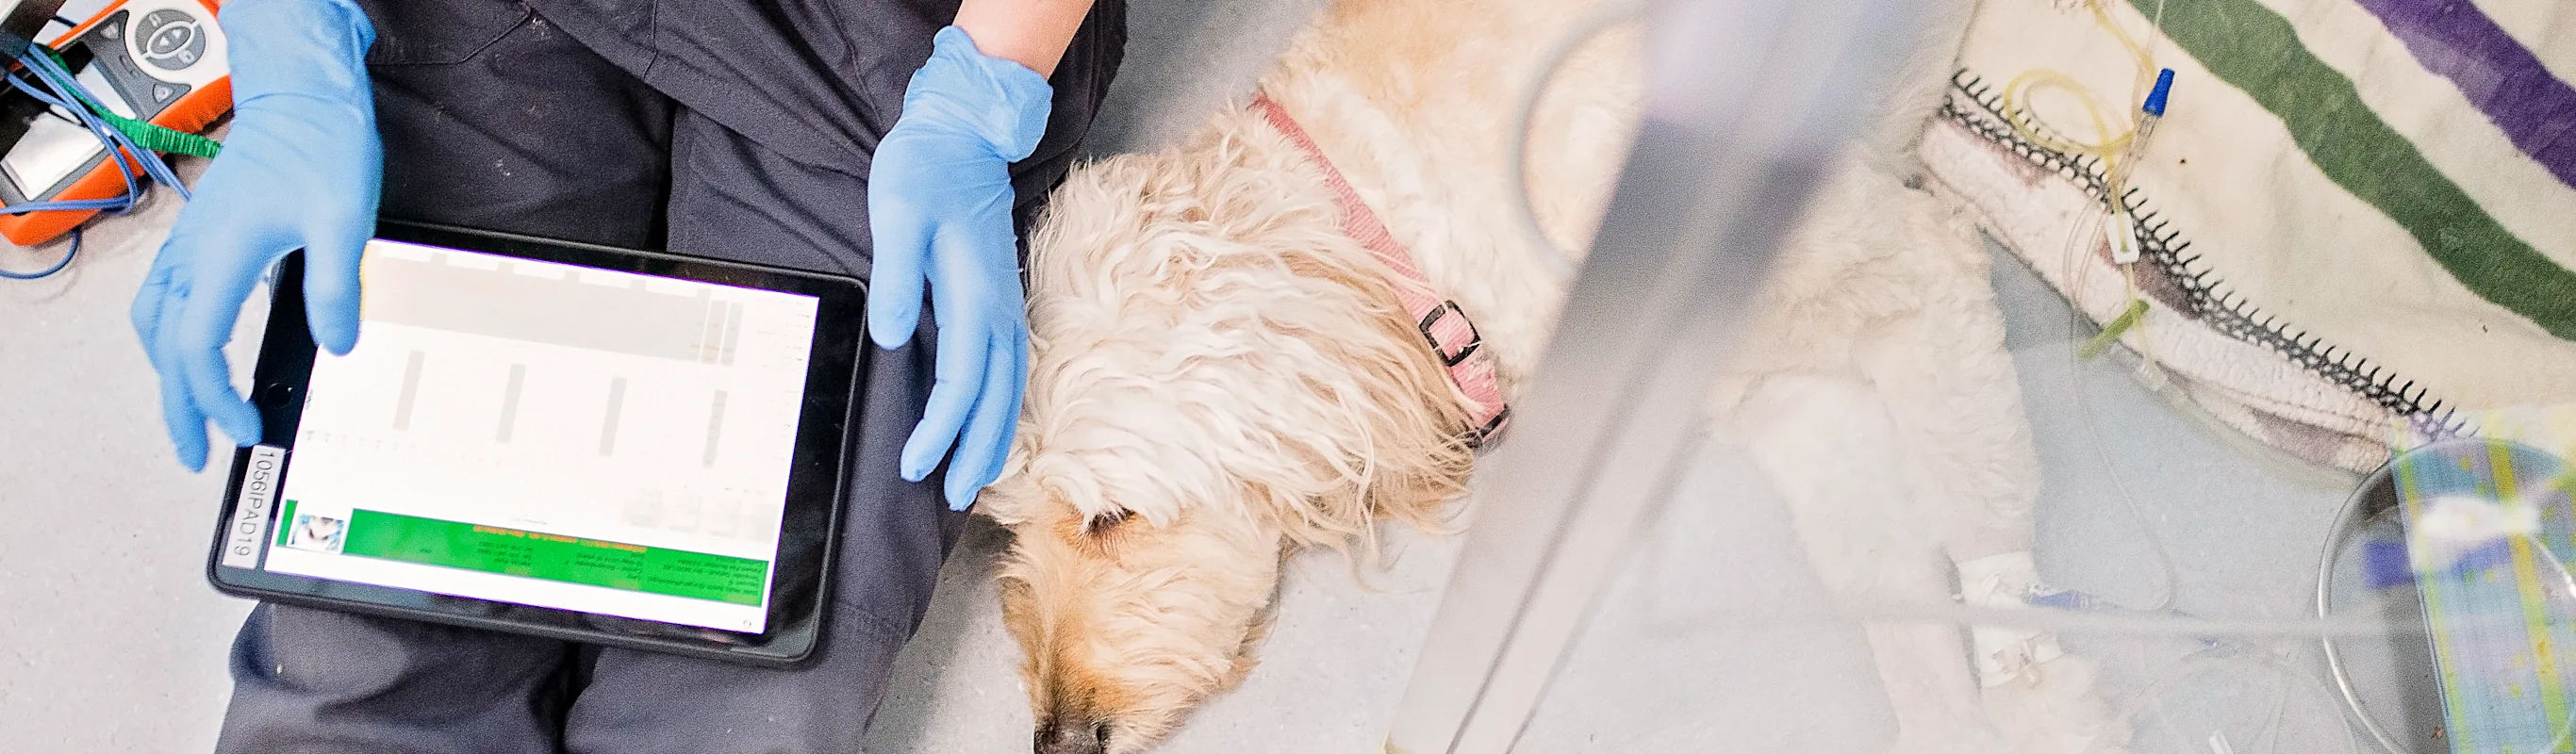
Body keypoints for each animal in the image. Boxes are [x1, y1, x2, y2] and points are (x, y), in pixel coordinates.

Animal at [973, 0, 2122, 746]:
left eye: (1108, 517)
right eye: (1008, 530)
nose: (1058, 737)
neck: (1398, 226)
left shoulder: (1913, 274)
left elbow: (1976, 500)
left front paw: (2037, 698)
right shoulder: (1785, 402)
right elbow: (1896, 610)